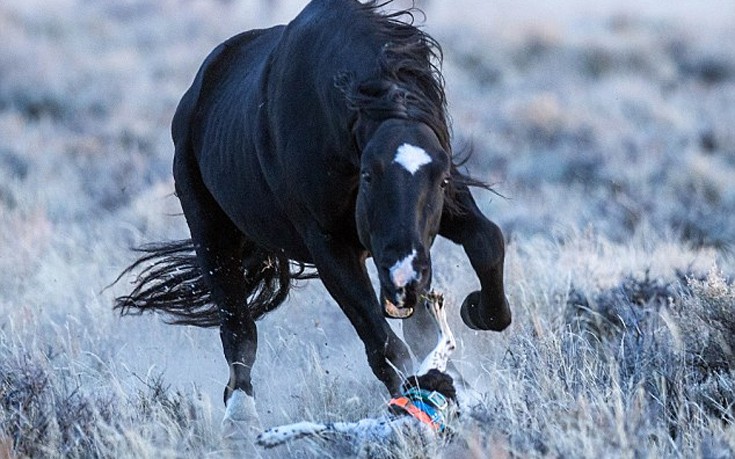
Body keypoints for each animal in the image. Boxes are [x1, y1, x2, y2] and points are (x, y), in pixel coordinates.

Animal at [115, 0, 508, 428]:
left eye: (440, 179)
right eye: (368, 175)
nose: (405, 275)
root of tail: (195, 96)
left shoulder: (450, 204)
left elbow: (488, 242)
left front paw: (476, 313)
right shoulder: (327, 246)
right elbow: (382, 343)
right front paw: (416, 398)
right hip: (212, 235)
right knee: (238, 329)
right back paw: (240, 419)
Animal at [256, 292, 458, 452]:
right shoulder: (345, 428)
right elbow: (305, 426)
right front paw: (272, 436)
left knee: (448, 341)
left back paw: (435, 307)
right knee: (447, 342)